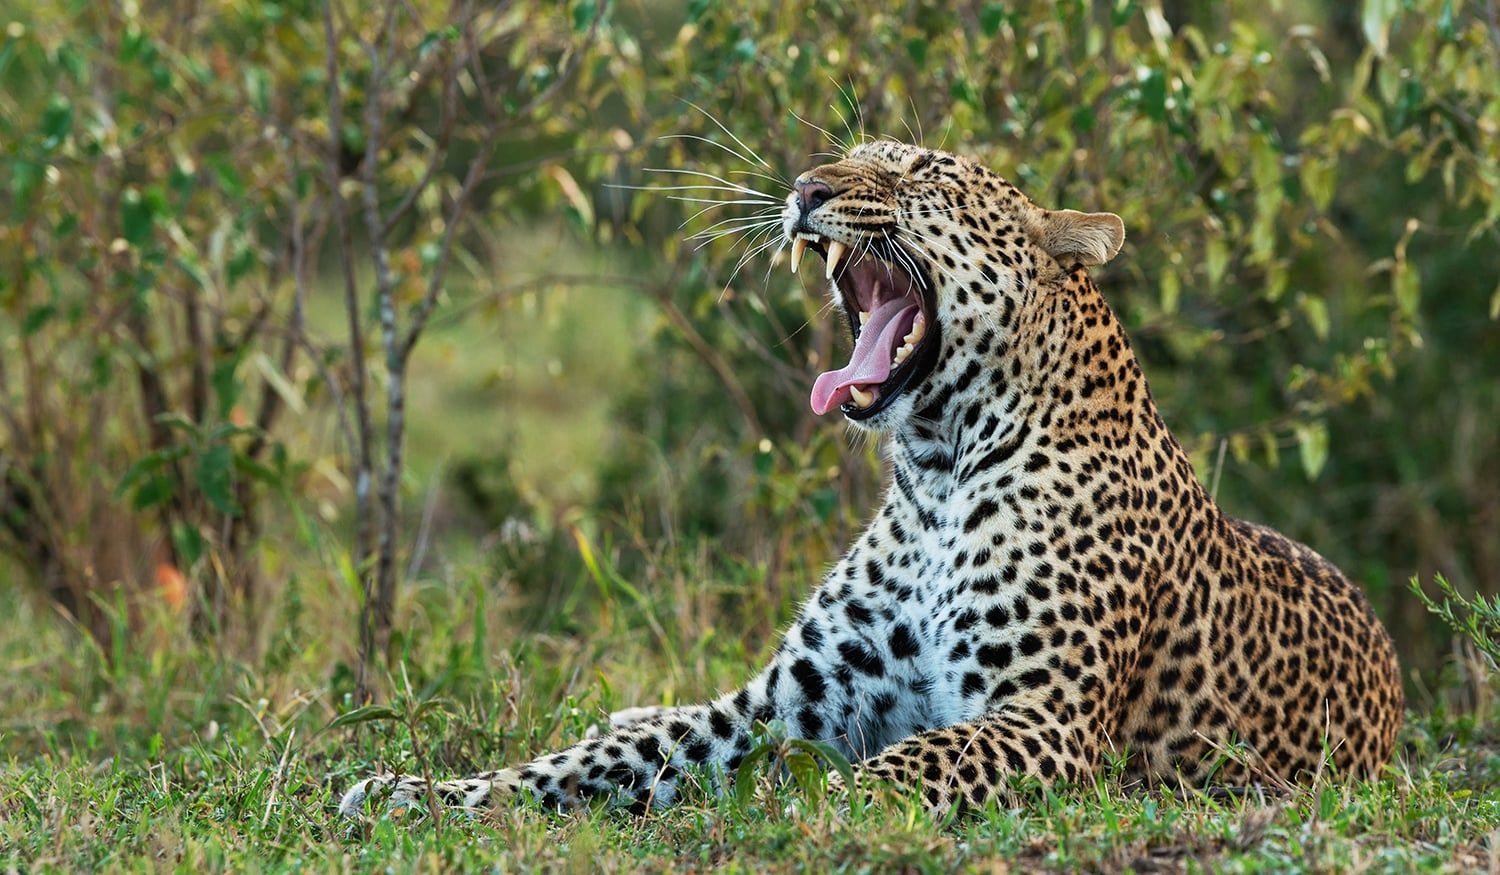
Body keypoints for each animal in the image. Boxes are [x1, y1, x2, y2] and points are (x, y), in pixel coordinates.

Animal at [339, 140, 1404, 818]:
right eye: (845, 157)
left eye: (917, 172)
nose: (804, 187)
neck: (934, 468)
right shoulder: (784, 701)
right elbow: (600, 757)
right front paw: (420, 791)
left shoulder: (1045, 716)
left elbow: (895, 770)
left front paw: (772, 817)